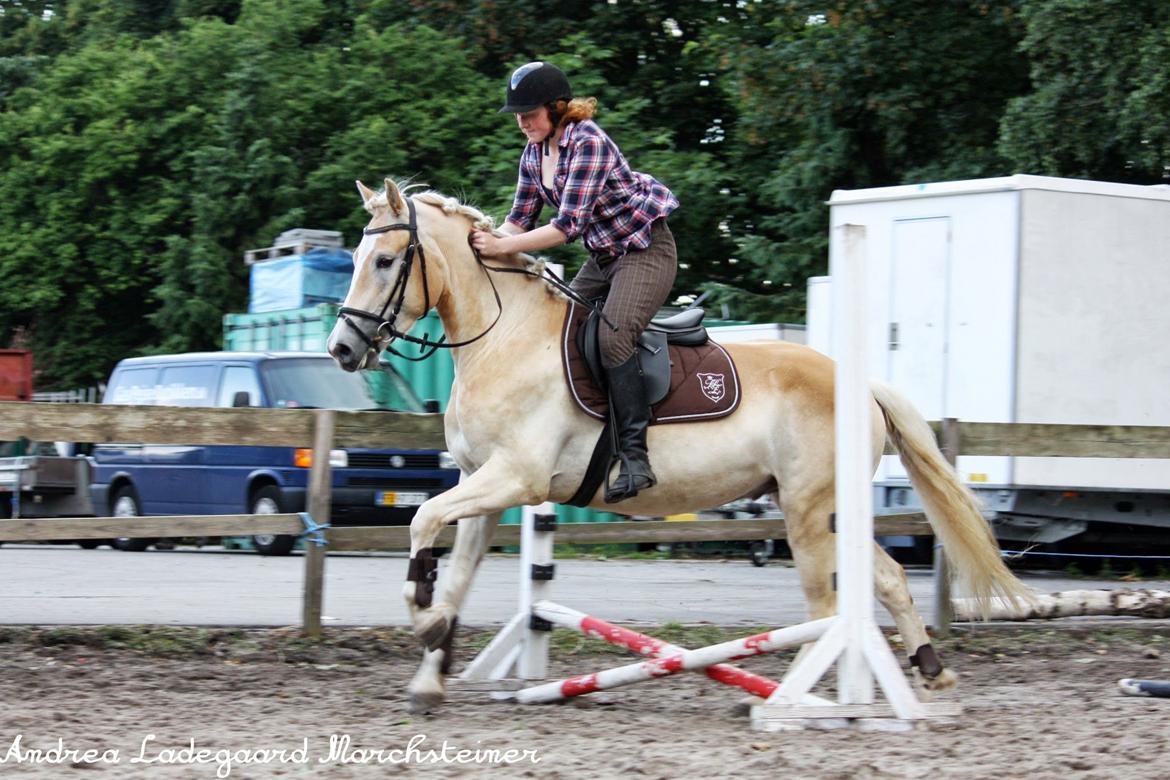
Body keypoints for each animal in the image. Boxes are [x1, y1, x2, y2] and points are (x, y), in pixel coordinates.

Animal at [327, 178, 1034, 715]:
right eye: (358, 260)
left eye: (386, 262)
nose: (342, 349)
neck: (503, 337)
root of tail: (859, 383)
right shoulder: (485, 487)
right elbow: (456, 575)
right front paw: (430, 673)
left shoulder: (513, 478)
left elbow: (422, 521)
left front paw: (420, 618)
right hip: (831, 510)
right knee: (884, 579)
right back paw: (930, 669)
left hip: (810, 509)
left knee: (827, 603)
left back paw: (787, 699)